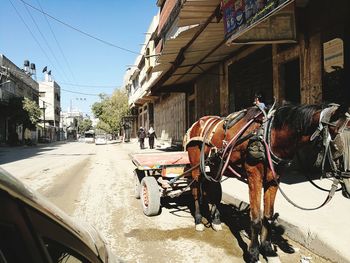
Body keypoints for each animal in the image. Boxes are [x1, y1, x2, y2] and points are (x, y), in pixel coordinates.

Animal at [185, 104, 348, 262]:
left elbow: (268, 217)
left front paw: (269, 250)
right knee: (196, 190)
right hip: (196, 165)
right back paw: (198, 220)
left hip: (215, 165)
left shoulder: (273, 180)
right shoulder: (254, 177)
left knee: (213, 187)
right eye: (337, 144)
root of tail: (197, 123)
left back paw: (216, 220)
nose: (346, 184)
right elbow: (256, 218)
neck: (269, 136)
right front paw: (253, 253)